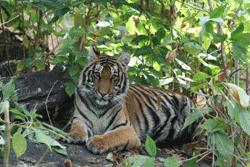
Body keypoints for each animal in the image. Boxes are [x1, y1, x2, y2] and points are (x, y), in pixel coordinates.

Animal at [68, 46, 197, 154]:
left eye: (113, 77)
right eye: (97, 75)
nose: (103, 93)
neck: (99, 106)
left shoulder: (126, 129)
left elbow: (112, 136)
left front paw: (96, 142)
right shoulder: (79, 119)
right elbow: (77, 127)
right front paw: (74, 135)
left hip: (191, 113)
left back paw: (191, 147)